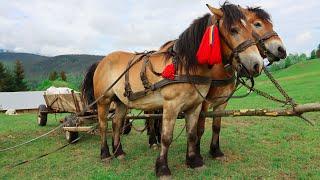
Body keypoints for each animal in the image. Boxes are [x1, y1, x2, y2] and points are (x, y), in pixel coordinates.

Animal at [83, 2, 264, 177]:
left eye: (252, 30)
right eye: (233, 30)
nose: (257, 64)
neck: (185, 67)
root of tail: (102, 61)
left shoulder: (195, 106)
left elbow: (192, 134)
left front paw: (194, 161)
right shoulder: (171, 106)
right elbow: (166, 137)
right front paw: (162, 168)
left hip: (120, 101)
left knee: (116, 123)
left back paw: (119, 152)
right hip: (104, 101)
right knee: (103, 125)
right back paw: (105, 154)